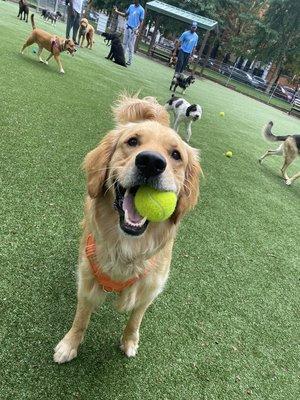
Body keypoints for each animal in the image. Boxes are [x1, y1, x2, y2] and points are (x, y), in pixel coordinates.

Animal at [53, 95, 202, 364]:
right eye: (132, 141)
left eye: (176, 154)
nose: (151, 162)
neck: (127, 247)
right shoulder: (87, 280)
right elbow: (81, 318)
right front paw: (70, 344)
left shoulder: (150, 288)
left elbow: (135, 319)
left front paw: (130, 340)